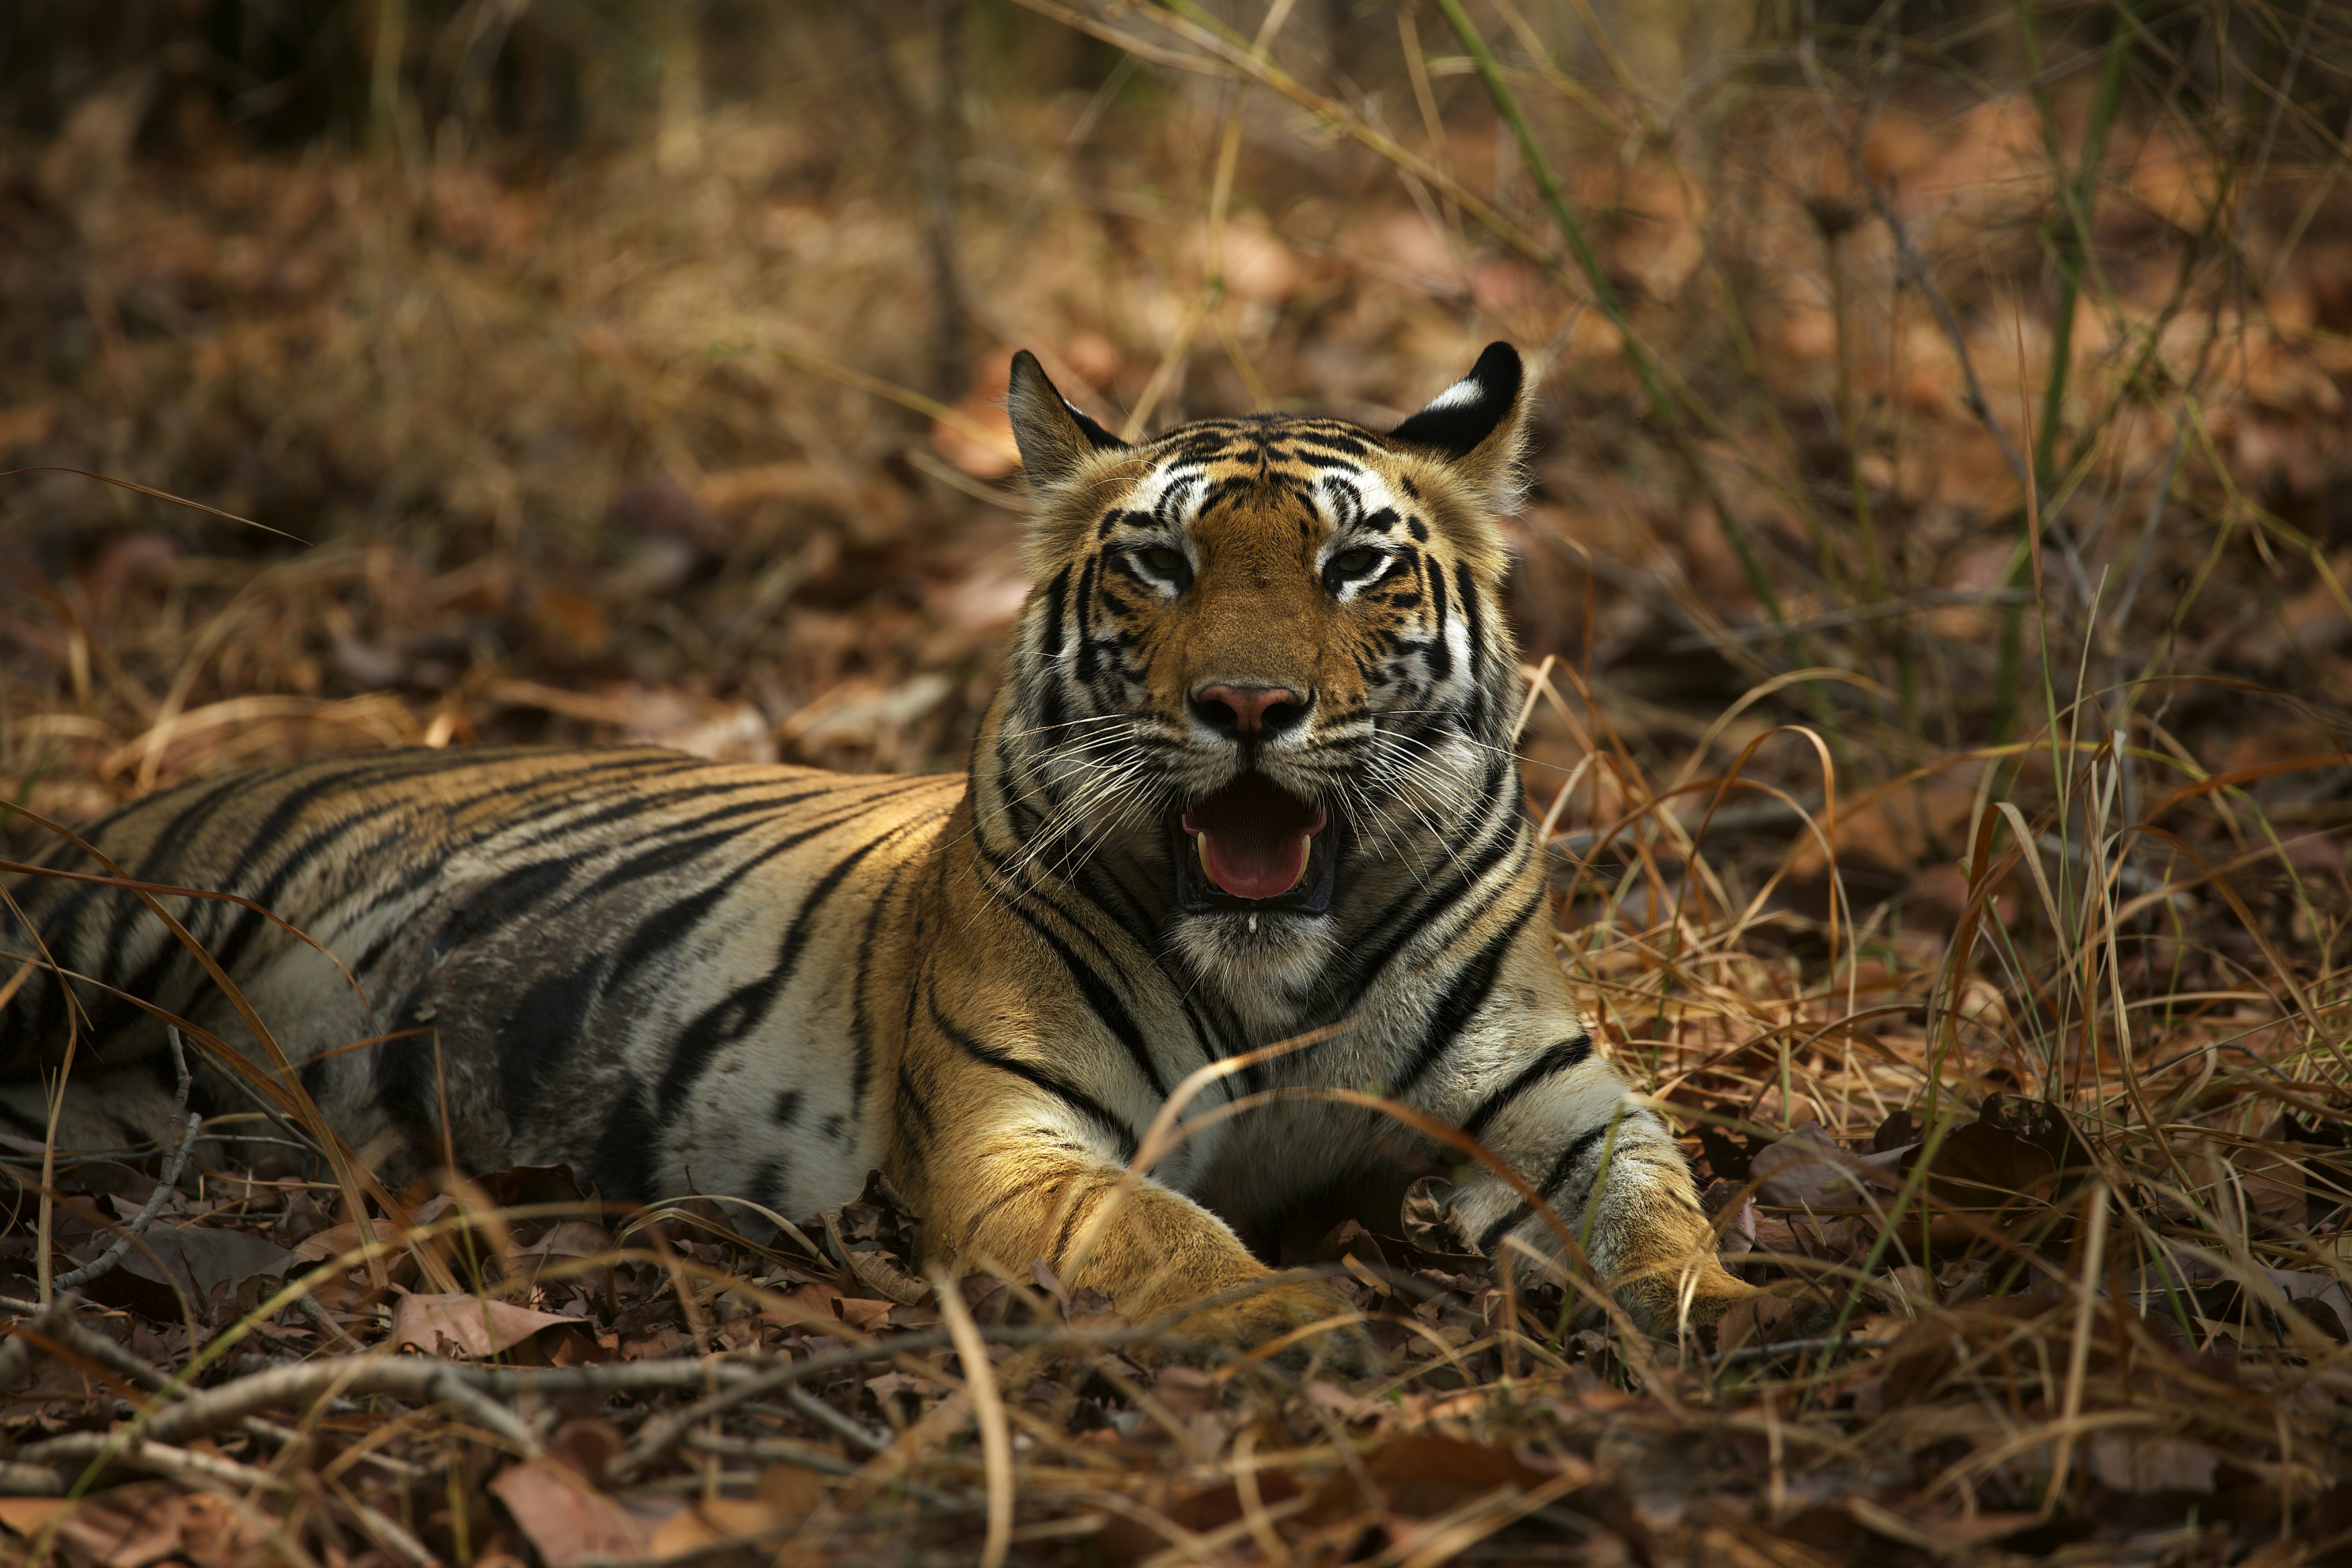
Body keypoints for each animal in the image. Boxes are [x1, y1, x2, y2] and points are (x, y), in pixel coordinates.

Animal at [1, 343, 1776, 1365]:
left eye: (1352, 567)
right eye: (1160, 562)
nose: (1250, 707)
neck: (1283, 983)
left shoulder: (1560, 1103)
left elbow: (1656, 1211)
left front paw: (1741, 1317)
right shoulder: (1017, 1142)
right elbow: (1172, 1238)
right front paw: (1298, 1317)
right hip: (77, 940)